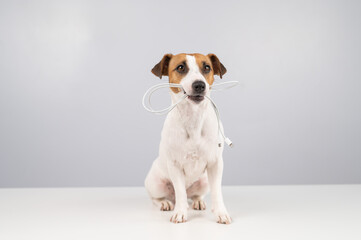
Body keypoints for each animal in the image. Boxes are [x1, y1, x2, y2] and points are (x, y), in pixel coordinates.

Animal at [144, 53, 231, 224]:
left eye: (207, 67)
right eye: (180, 67)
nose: (199, 85)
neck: (193, 118)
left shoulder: (216, 164)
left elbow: (217, 191)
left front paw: (220, 212)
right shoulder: (175, 165)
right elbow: (180, 192)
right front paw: (180, 212)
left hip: (204, 181)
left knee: (196, 194)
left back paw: (198, 201)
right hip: (155, 183)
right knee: (158, 198)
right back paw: (165, 203)